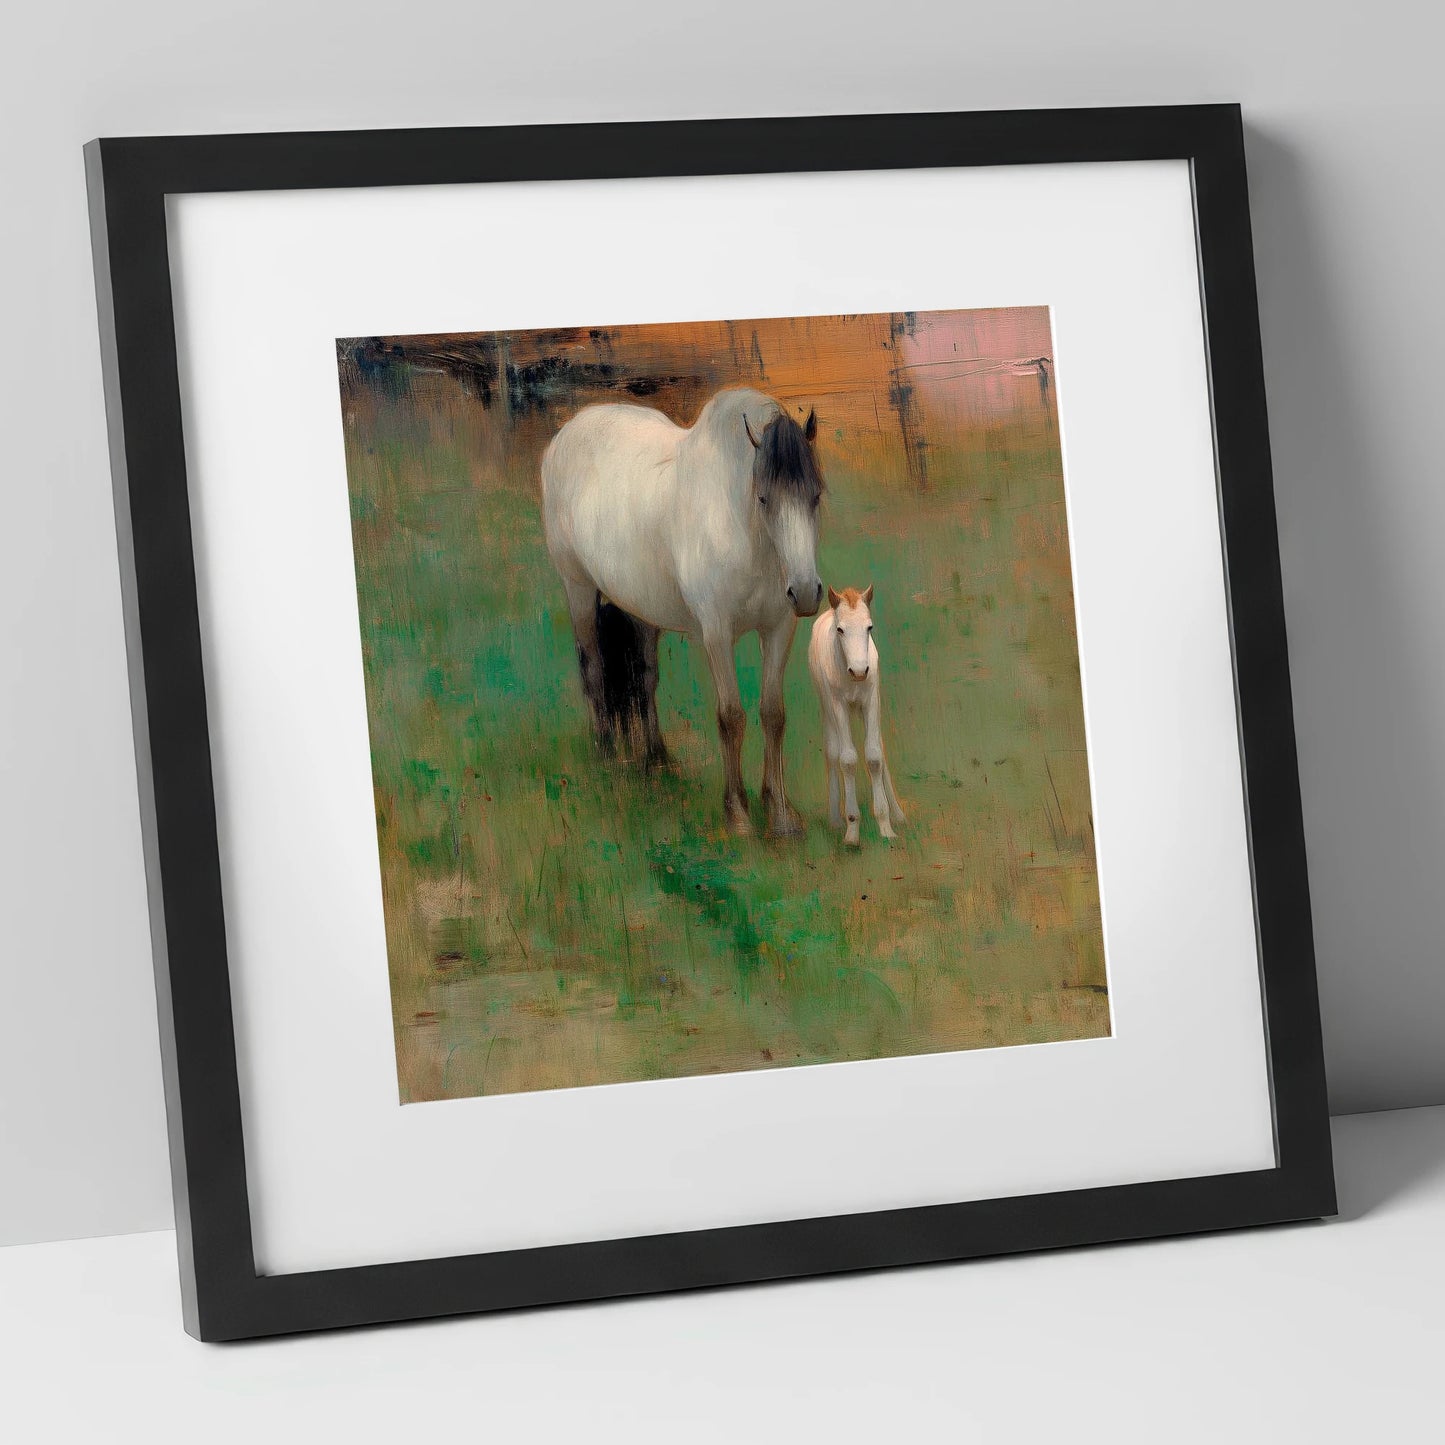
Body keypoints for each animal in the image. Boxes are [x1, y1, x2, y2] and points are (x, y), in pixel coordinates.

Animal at [541, 387, 826, 836]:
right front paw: (737, 813)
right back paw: (606, 757)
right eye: (763, 498)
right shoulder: (716, 633)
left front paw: (780, 814)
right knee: (595, 670)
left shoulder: (780, 629)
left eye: (815, 495)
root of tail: (568, 431)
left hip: (639, 606)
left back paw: (656, 760)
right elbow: (731, 716)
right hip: (578, 588)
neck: (745, 533)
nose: (806, 592)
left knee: (644, 680)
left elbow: (773, 714)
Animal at [807, 584, 906, 846]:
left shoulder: (870, 702)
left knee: (879, 748)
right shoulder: (838, 705)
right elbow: (848, 759)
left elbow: (874, 756)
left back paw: (898, 815)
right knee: (832, 752)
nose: (860, 671)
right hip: (827, 708)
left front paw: (886, 825)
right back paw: (835, 819)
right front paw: (852, 831)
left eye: (869, 627)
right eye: (840, 629)